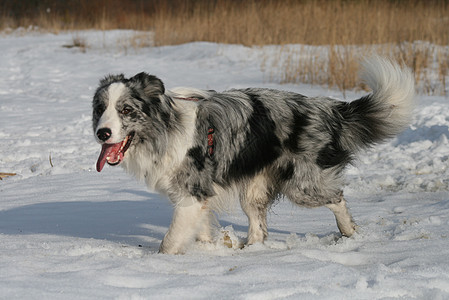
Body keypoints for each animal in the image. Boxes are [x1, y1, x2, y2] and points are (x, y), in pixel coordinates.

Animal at [91, 56, 412, 253]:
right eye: (100, 109)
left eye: (126, 110)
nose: (102, 133)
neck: (165, 128)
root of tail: (328, 109)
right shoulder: (198, 196)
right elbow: (201, 230)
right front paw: (209, 250)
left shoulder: (191, 193)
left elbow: (169, 242)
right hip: (255, 187)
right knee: (259, 227)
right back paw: (250, 250)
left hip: (302, 185)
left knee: (337, 197)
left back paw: (349, 233)